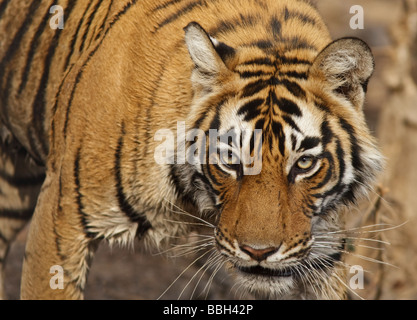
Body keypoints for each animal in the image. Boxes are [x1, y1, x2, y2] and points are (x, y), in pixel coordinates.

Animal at [0, 0, 382, 300]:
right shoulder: (62, 220)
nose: (258, 252)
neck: (192, 201)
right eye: (230, 160)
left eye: (303, 164)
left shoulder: (324, 250)